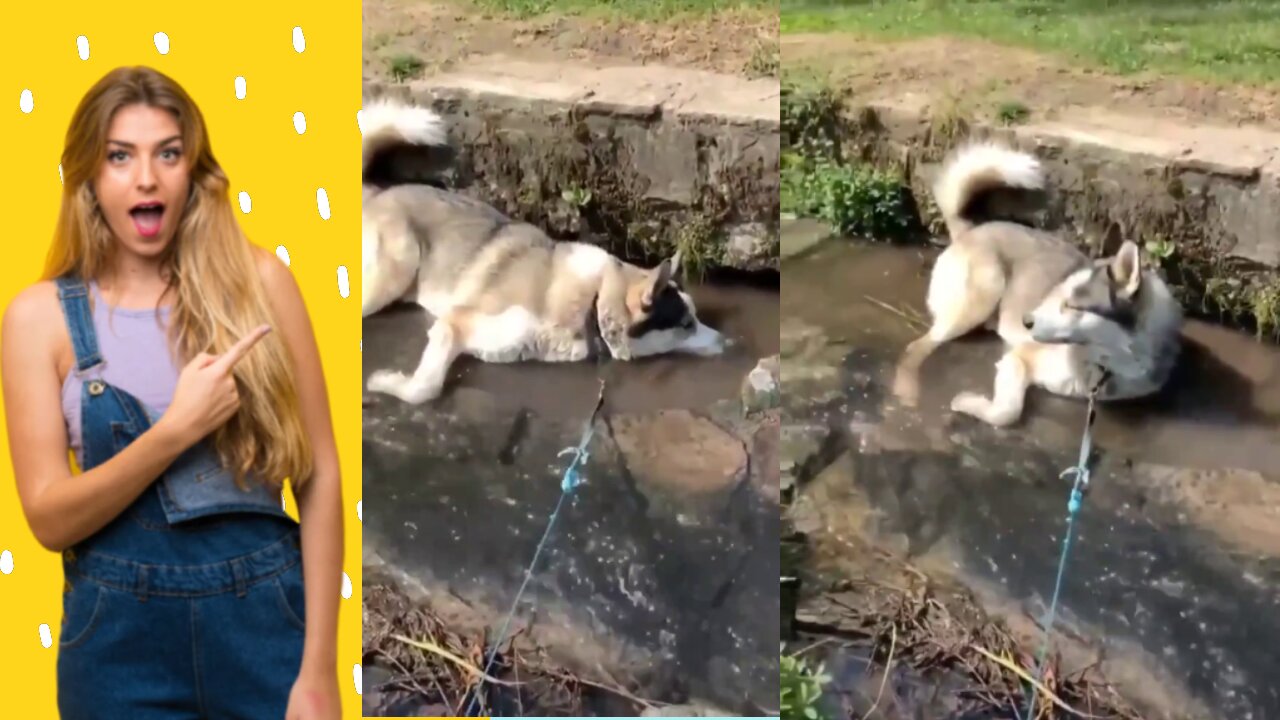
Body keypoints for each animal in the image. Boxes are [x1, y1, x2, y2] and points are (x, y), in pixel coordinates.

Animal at [360, 95, 732, 404]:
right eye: (686, 324)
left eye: (696, 317)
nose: (730, 344)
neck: (594, 303)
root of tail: (376, 192)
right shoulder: (453, 324)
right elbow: (425, 388)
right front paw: (386, 382)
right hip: (391, 276)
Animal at [890, 139, 1177, 425]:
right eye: (1057, 295)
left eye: (1073, 305)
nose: (1025, 321)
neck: (1104, 363)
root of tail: (972, 230)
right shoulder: (1019, 358)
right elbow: (1007, 412)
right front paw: (968, 403)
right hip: (981, 297)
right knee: (916, 348)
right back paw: (907, 390)